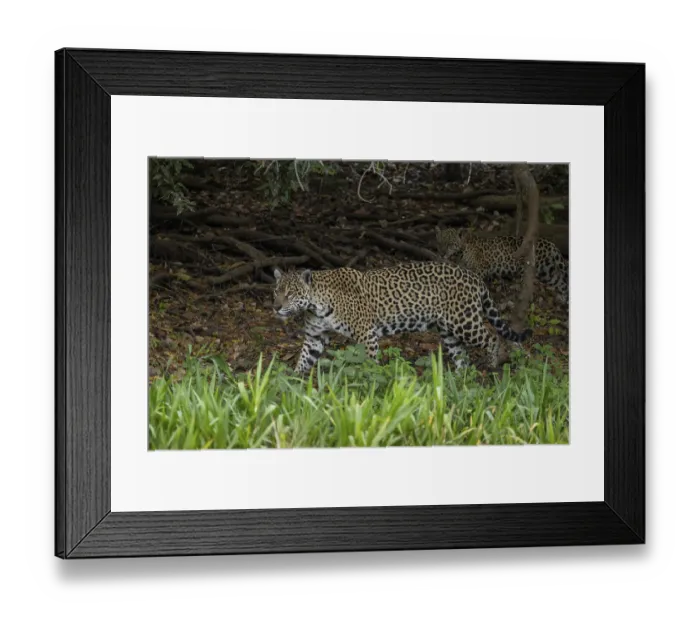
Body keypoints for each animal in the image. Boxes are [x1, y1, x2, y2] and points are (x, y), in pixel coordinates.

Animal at [272, 262, 532, 375]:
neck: (316, 304)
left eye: (291, 294)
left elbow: (369, 363)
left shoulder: (366, 334)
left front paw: (368, 384)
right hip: (449, 331)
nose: (276, 307)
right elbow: (304, 358)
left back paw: (492, 367)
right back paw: (458, 380)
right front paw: (291, 382)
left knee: (492, 338)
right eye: (276, 291)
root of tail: (475, 277)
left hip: (464, 321)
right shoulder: (315, 336)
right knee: (462, 356)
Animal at [435, 226, 569, 303]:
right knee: (561, 283)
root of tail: (549, 243)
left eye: (450, 244)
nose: (441, 253)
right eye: (439, 243)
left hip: (529, 268)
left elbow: (476, 278)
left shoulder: (482, 266)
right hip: (547, 272)